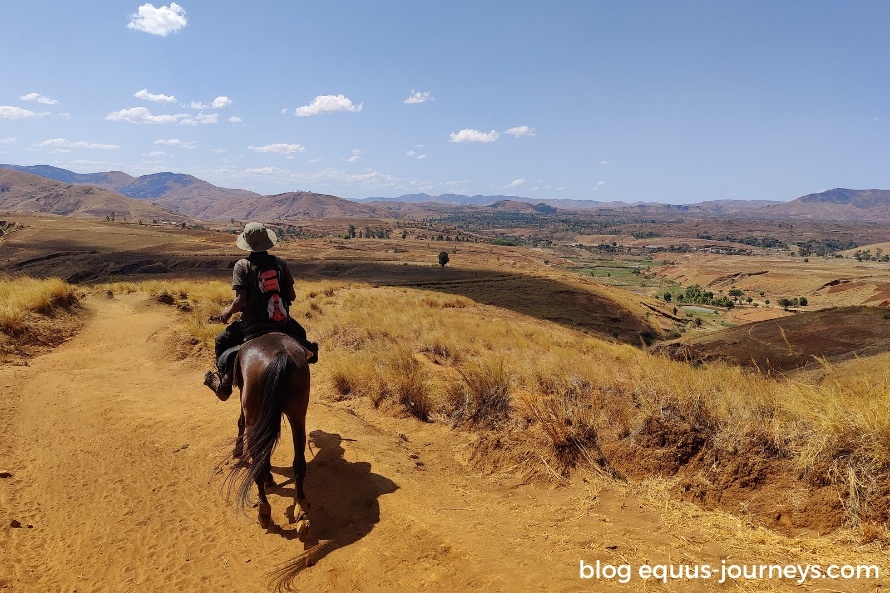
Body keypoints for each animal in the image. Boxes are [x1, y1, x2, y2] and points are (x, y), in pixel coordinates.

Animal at [227, 332, 310, 532]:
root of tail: (281, 355)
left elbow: (240, 421)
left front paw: (238, 451)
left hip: (254, 415)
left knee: (257, 461)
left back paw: (263, 511)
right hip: (298, 416)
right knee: (299, 462)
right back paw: (302, 510)